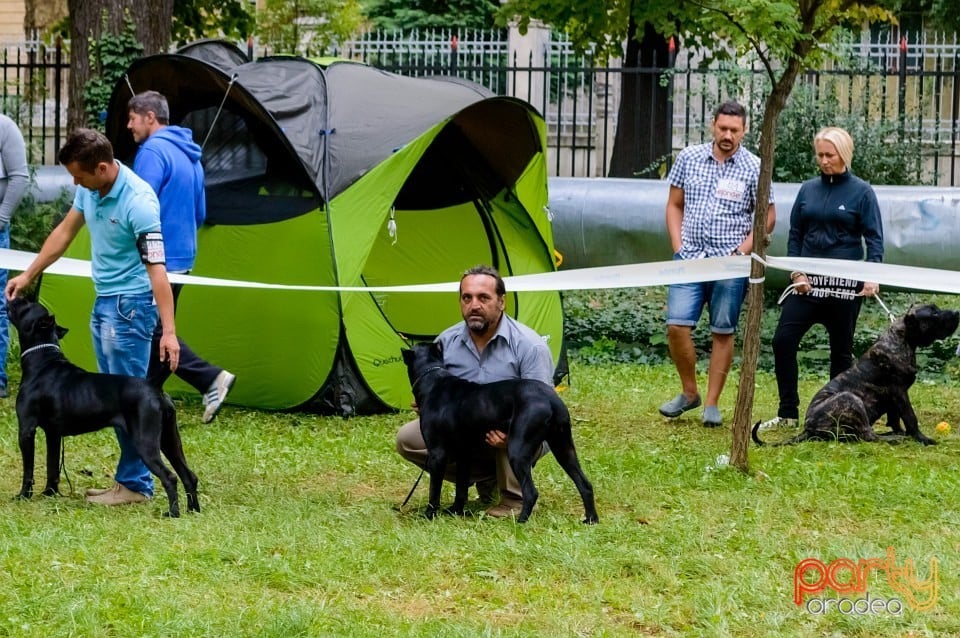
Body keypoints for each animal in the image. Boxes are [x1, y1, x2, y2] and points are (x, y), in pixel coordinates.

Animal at [8, 300, 200, 520]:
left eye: (27, 305)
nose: (15, 298)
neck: (42, 360)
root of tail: (154, 384)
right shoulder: (53, 434)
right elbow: (52, 466)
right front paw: (50, 494)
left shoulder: (26, 430)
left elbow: (28, 470)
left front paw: (23, 495)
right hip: (169, 439)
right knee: (189, 476)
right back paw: (193, 510)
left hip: (146, 442)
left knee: (170, 477)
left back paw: (173, 513)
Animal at [402, 342, 596, 528]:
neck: (432, 377)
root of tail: (551, 400)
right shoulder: (464, 454)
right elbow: (461, 487)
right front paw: (455, 511)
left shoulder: (437, 453)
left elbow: (434, 491)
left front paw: (429, 515)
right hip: (564, 447)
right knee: (585, 484)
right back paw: (591, 520)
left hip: (518, 451)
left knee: (531, 492)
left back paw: (520, 522)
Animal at [752, 306, 956, 450]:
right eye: (934, 313)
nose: (956, 312)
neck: (903, 339)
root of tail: (808, 428)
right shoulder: (899, 392)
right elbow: (910, 417)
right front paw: (922, 439)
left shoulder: (895, 396)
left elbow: (895, 417)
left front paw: (900, 430)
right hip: (850, 399)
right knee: (867, 435)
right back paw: (893, 438)